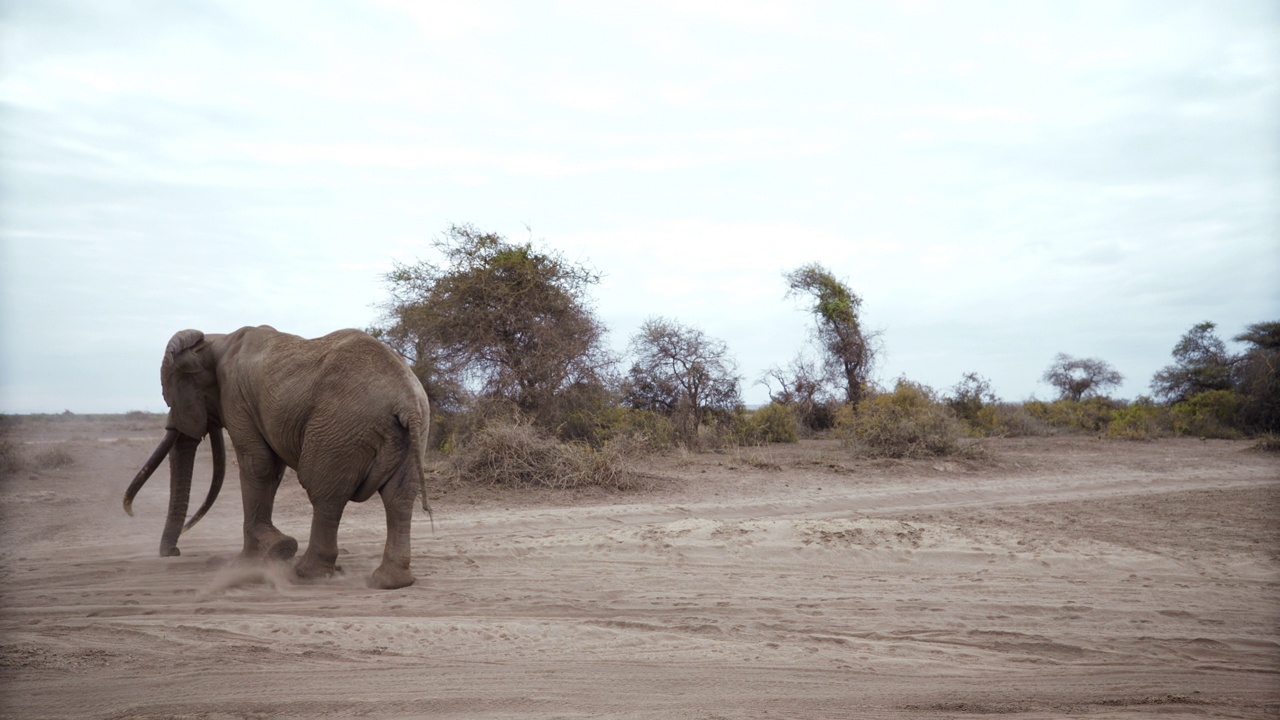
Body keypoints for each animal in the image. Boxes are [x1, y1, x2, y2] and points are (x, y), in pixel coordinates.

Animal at [126, 325, 432, 589]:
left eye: (168, 397)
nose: (174, 551)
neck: (216, 340)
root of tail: (406, 401)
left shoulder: (236, 397)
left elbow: (257, 464)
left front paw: (254, 559)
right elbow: (271, 470)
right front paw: (271, 550)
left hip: (341, 428)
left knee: (324, 494)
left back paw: (306, 573)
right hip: (409, 435)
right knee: (398, 499)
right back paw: (389, 581)